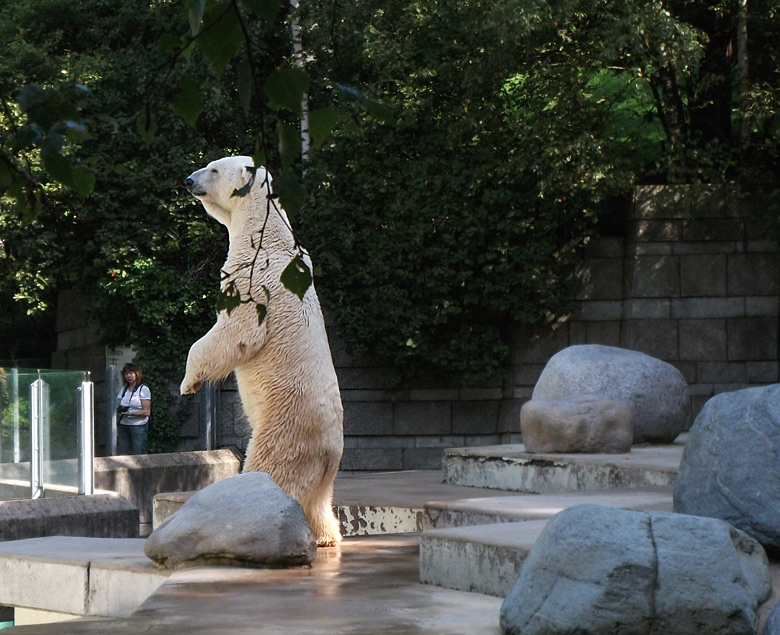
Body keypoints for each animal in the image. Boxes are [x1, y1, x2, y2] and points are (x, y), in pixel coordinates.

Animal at [183, 155, 344, 548]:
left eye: (213, 168)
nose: (188, 180)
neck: (265, 232)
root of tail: (329, 453)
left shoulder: (254, 279)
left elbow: (237, 331)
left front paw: (189, 382)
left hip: (284, 429)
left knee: (269, 476)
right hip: (322, 472)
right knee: (319, 502)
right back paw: (326, 538)